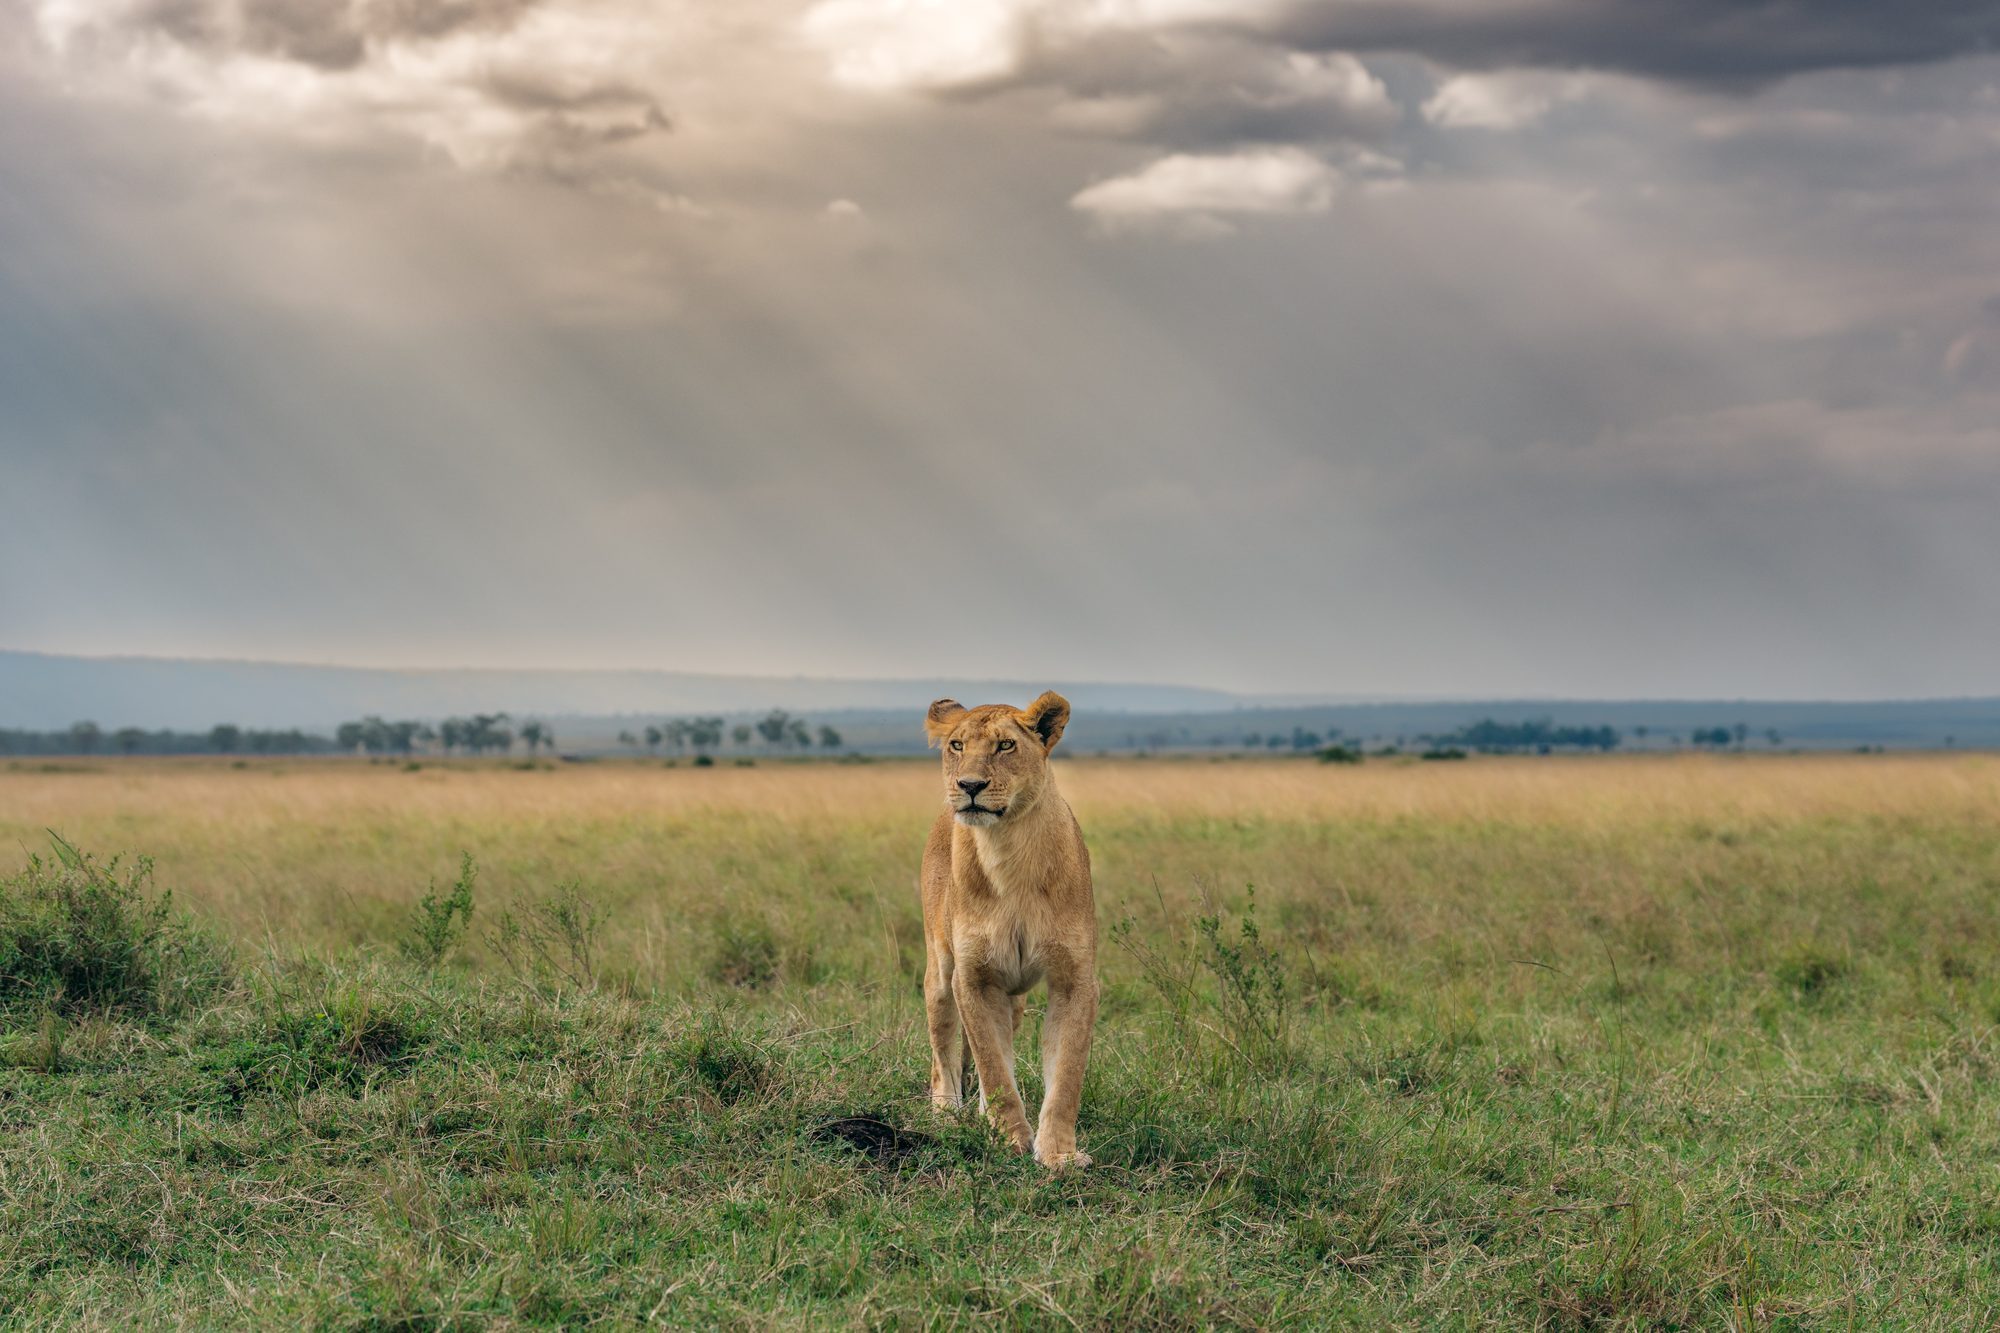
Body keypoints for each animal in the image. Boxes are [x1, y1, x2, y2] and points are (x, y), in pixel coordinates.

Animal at [918, 691, 1097, 1168]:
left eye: (1005, 746)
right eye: (957, 745)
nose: (969, 786)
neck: (1008, 852)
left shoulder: (1075, 978)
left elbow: (1065, 1073)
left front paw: (1058, 1154)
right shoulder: (973, 978)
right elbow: (993, 1066)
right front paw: (1011, 1140)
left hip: (1012, 995)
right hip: (940, 973)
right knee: (945, 1050)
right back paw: (947, 1112)